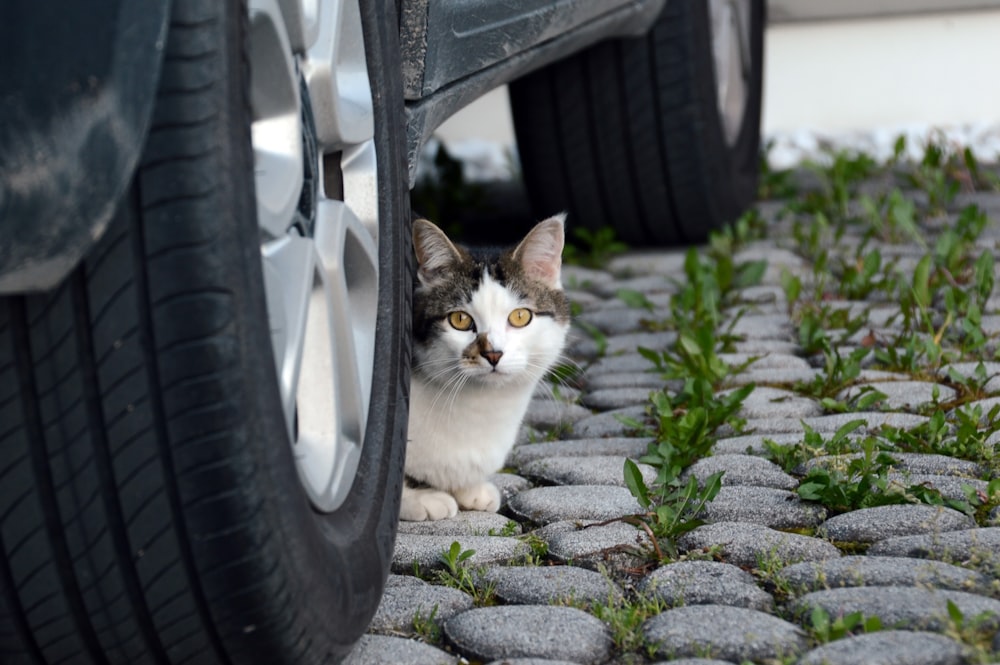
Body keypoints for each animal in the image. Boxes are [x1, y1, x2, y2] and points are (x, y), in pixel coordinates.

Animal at [400, 215, 572, 520]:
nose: (493, 353)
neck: (481, 406)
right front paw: (419, 499)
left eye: (520, 316)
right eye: (459, 319)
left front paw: (470, 489)